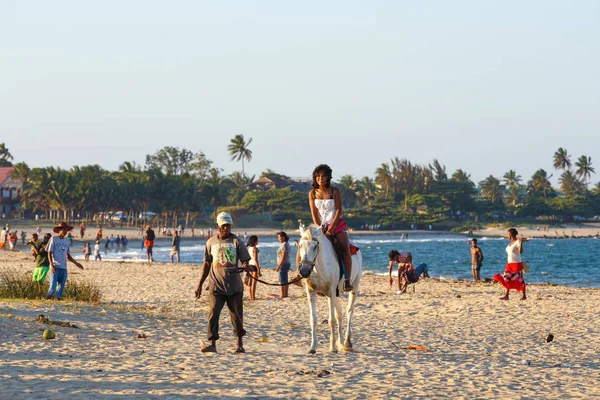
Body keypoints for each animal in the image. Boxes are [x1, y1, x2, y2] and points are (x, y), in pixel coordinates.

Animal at [296, 225, 360, 354]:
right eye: (300, 245)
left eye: (315, 246)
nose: (304, 271)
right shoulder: (311, 292)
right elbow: (313, 319)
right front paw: (313, 347)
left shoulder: (331, 292)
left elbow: (331, 320)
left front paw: (332, 347)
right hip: (336, 294)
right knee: (340, 313)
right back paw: (341, 343)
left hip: (354, 285)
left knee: (349, 310)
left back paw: (347, 343)